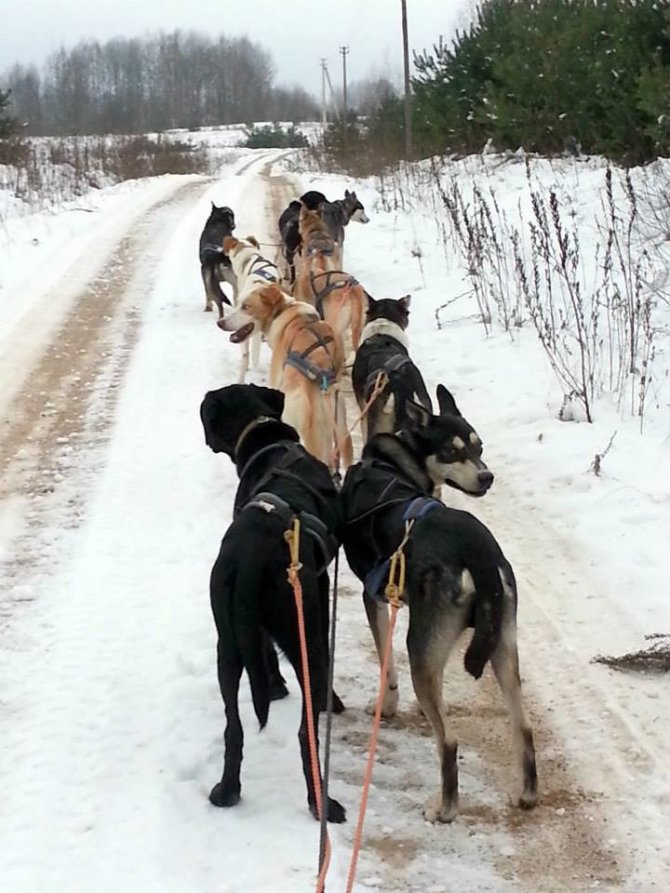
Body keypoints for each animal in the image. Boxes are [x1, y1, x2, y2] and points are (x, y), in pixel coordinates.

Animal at [200, 384, 346, 824]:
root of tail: (254, 553)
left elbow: (262, 648)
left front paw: (274, 685)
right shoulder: (320, 592)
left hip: (226, 644)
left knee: (234, 727)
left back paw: (227, 791)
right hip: (302, 636)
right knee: (304, 732)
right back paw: (322, 803)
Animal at [338, 398, 540, 824]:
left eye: (478, 447)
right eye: (453, 450)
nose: (486, 476)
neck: (393, 465)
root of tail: (477, 550)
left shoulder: (373, 598)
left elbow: (386, 665)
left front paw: (389, 706)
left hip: (420, 647)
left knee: (448, 739)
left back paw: (445, 808)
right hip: (502, 646)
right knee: (523, 725)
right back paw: (527, 794)